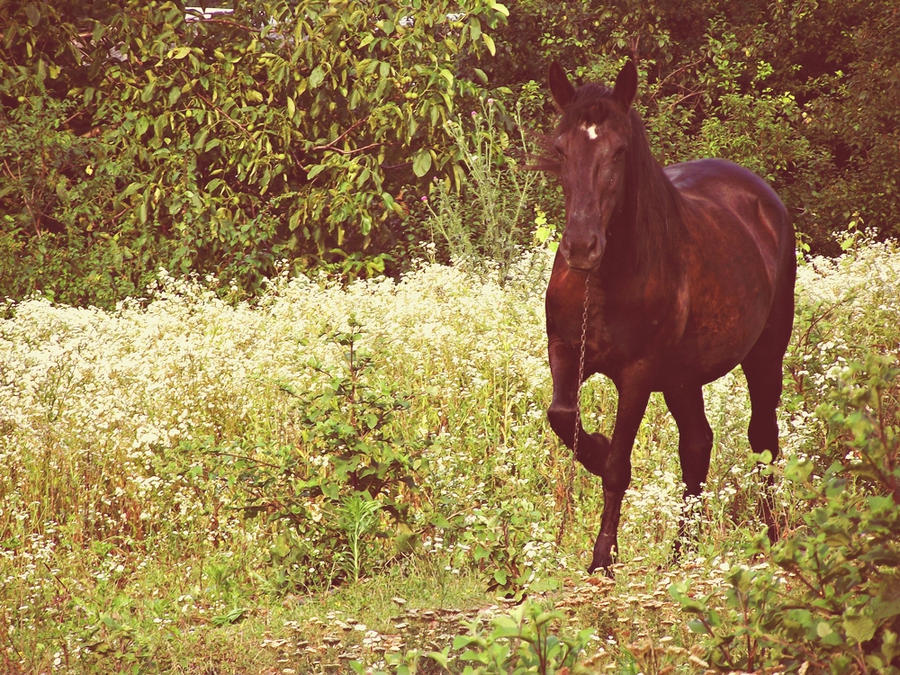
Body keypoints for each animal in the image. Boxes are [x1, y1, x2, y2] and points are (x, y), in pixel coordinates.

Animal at [540, 60, 796, 572]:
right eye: (560, 148)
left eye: (619, 150)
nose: (581, 247)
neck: (608, 278)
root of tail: (765, 200)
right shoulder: (565, 351)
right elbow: (562, 416)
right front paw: (594, 446)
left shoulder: (638, 374)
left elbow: (618, 466)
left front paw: (602, 557)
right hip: (683, 377)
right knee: (697, 445)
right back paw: (683, 552)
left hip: (764, 355)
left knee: (763, 439)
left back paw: (773, 538)